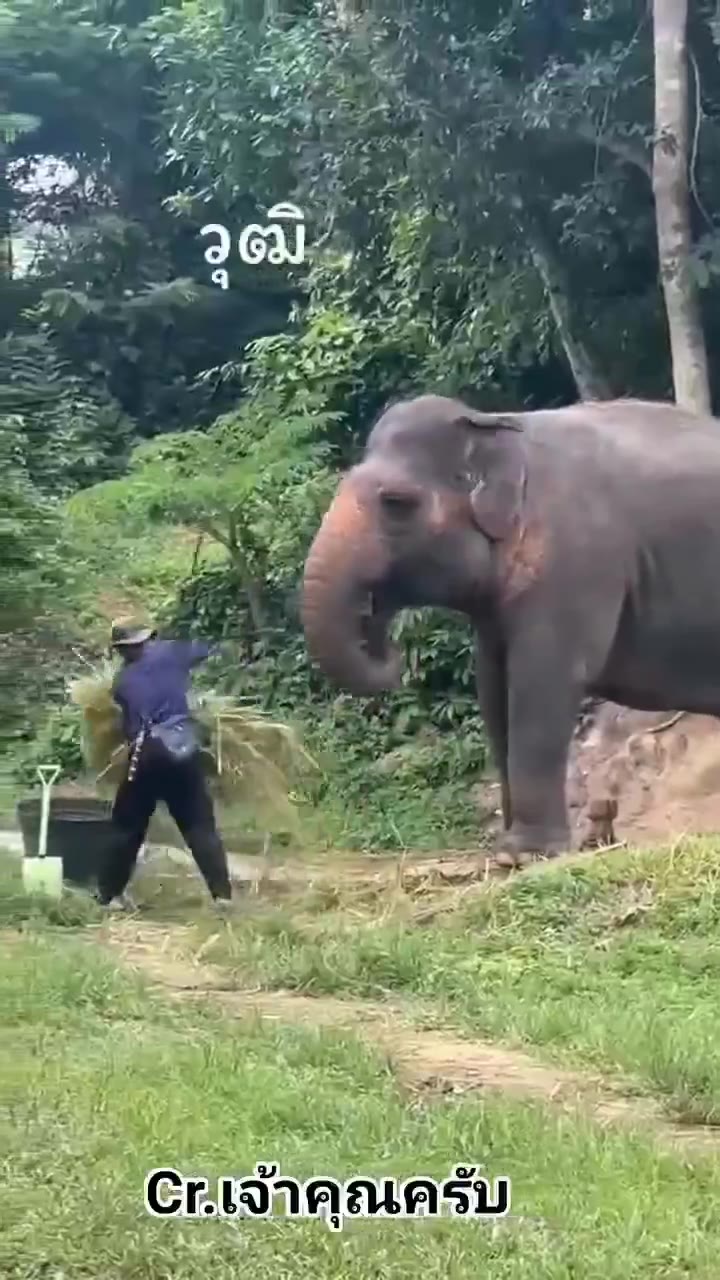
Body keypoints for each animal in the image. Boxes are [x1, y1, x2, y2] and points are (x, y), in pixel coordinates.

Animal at [300, 393, 720, 866]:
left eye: (396, 502)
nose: (388, 650)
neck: (496, 423)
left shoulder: (575, 562)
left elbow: (543, 681)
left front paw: (525, 855)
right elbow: (492, 688)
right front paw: (507, 850)